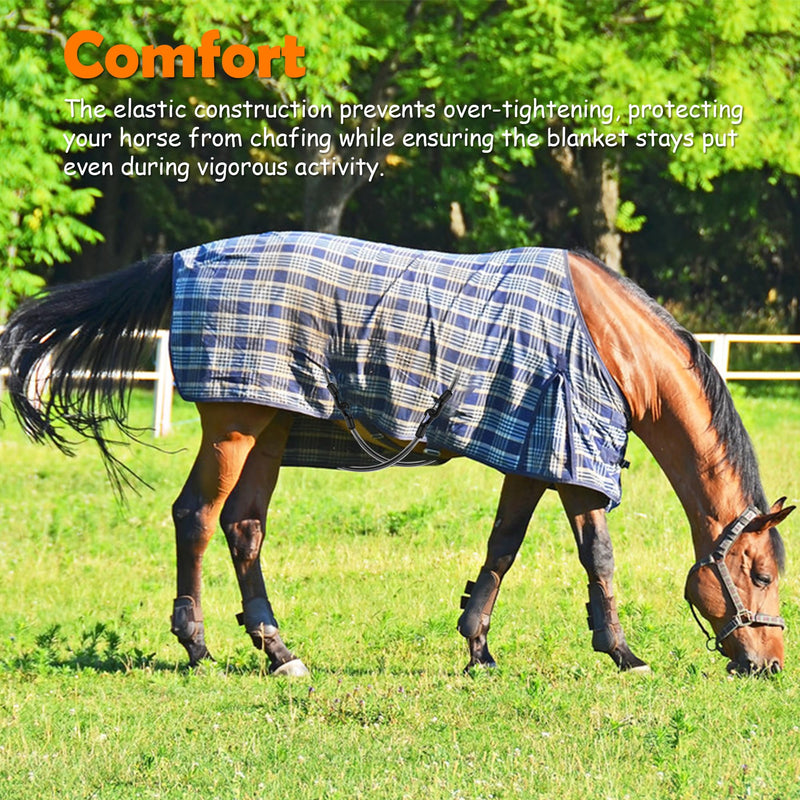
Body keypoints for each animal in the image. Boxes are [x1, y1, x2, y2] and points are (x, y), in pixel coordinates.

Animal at [0, 231, 792, 676]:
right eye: (757, 574)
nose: (771, 665)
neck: (608, 339)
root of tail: (183, 261)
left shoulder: (533, 455)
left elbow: (503, 546)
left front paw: (478, 647)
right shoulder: (570, 454)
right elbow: (596, 554)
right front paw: (623, 654)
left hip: (272, 426)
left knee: (243, 527)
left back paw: (280, 652)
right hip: (235, 424)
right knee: (196, 517)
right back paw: (197, 647)